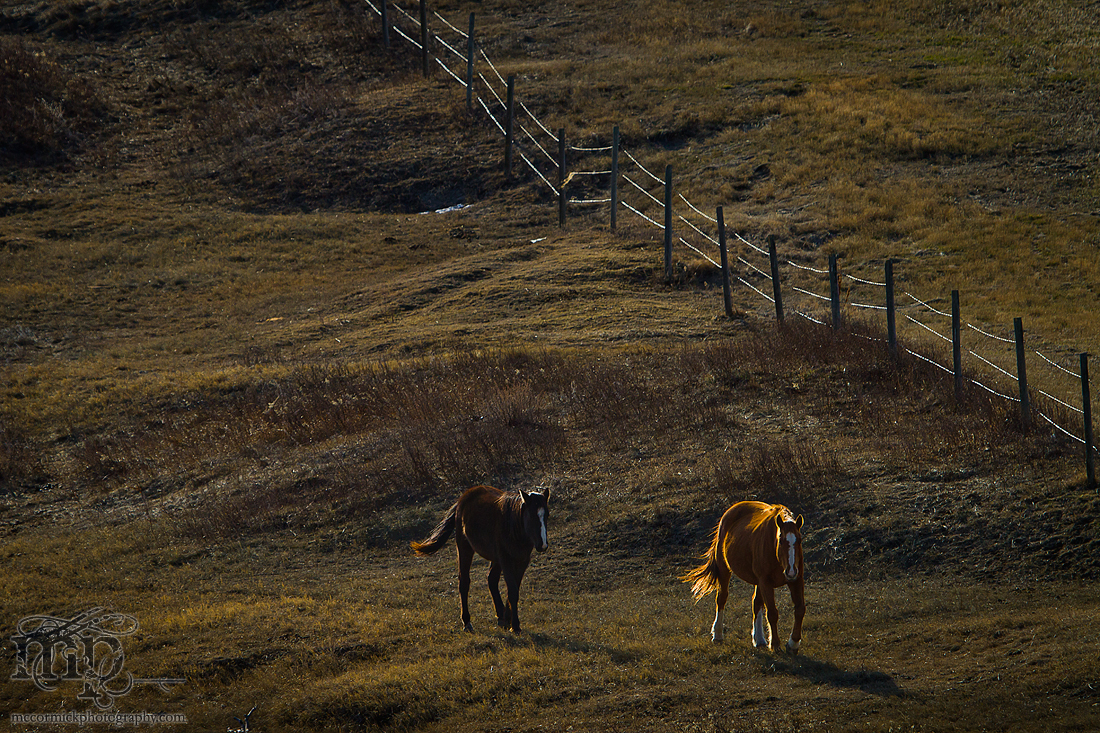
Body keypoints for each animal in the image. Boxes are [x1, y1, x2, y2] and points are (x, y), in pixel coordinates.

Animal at [411, 485, 549, 633]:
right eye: (531, 515)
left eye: (546, 515)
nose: (543, 545)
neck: (513, 527)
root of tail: (462, 499)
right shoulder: (506, 560)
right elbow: (512, 591)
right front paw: (516, 626)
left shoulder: (522, 560)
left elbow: (514, 590)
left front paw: (508, 619)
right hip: (465, 547)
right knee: (464, 582)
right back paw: (467, 622)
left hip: (494, 559)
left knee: (491, 579)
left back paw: (501, 616)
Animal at [682, 501, 805, 653]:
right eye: (781, 540)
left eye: (799, 540)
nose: (791, 571)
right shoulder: (766, 582)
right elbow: (772, 613)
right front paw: (775, 645)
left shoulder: (796, 580)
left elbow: (800, 609)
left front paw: (793, 643)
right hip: (724, 569)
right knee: (721, 598)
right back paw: (718, 634)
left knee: (756, 603)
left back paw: (759, 639)